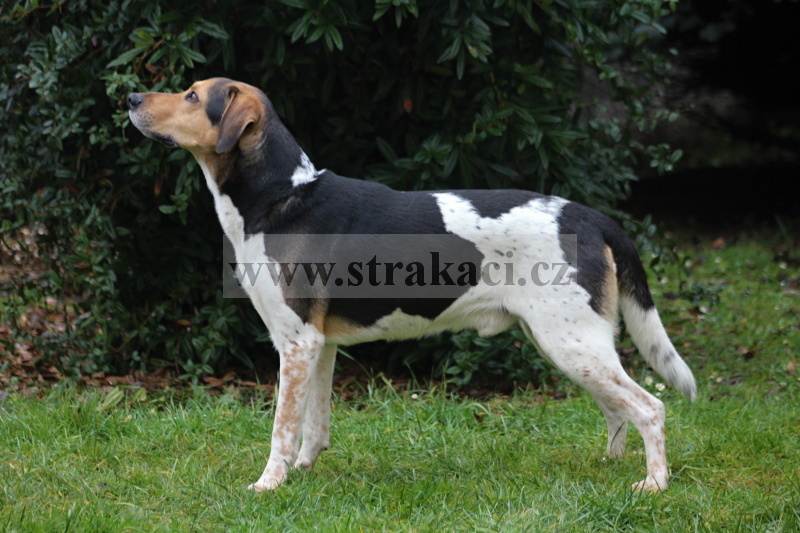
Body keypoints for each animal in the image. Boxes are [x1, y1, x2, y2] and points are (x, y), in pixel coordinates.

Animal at [128, 78, 696, 493]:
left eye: (192, 95)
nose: (130, 98)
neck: (280, 197)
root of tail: (591, 215)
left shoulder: (295, 342)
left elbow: (282, 429)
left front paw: (269, 485)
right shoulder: (319, 345)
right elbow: (315, 424)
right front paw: (305, 474)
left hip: (572, 342)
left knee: (651, 407)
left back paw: (653, 484)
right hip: (570, 344)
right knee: (618, 409)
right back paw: (609, 466)